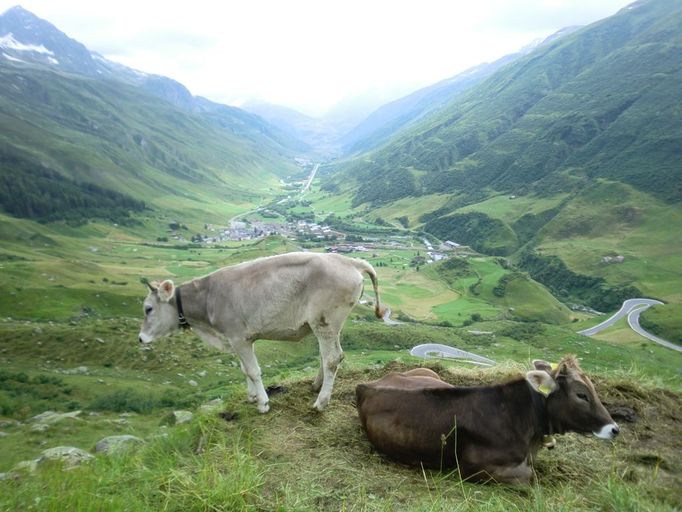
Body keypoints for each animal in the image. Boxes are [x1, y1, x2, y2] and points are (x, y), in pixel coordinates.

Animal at [138, 251, 382, 412]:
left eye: (148, 308)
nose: (140, 338)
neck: (208, 299)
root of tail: (349, 261)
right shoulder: (239, 339)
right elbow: (245, 369)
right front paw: (252, 396)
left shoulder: (238, 337)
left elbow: (254, 370)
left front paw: (263, 403)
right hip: (328, 325)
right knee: (331, 355)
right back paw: (316, 386)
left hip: (326, 321)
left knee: (332, 358)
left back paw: (321, 402)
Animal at [354, 356, 620, 484]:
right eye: (581, 394)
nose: (614, 429)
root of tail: (367, 384)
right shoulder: (471, 468)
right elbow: (529, 476)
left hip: (431, 374)